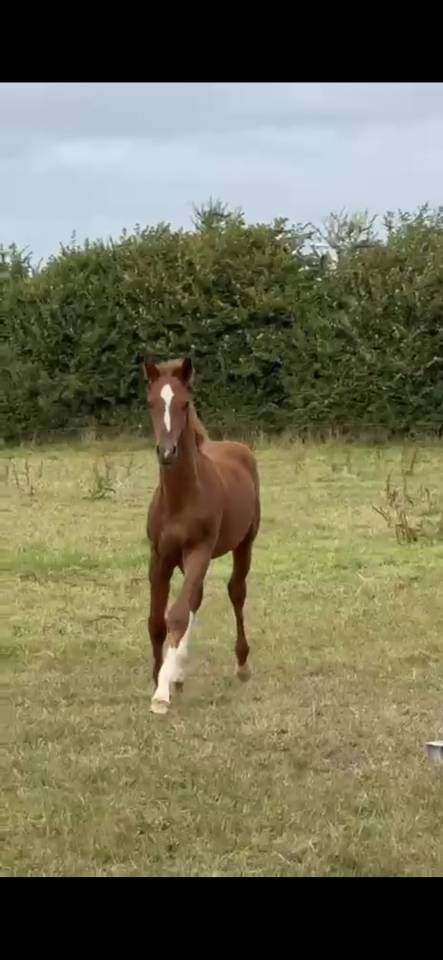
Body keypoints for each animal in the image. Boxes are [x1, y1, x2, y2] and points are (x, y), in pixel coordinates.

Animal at [143, 357, 260, 715]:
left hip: (244, 543)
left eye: (184, 403)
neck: (181, 498)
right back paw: (179, 672)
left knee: (236, 591)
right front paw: (161, 676)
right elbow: (157, 620)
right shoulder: (161, 555)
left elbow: (177, 615)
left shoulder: (199, 551)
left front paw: (161, 694)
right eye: (151, 403)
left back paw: (242, 665)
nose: (167, 452)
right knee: (196, 597)